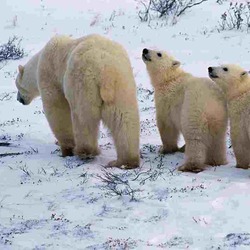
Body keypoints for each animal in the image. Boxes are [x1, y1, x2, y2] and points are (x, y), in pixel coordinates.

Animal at [15, 34, 141, 169]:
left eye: (17, 85)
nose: (19, 99)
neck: (39, 60)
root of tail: (105, 70)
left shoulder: (51, 76)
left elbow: (57, 110)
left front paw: (66, 149)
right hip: (122, 82)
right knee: (124, 118)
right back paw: (125, 161)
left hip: (83, 81)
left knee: (83, 117)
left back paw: (85, 151)